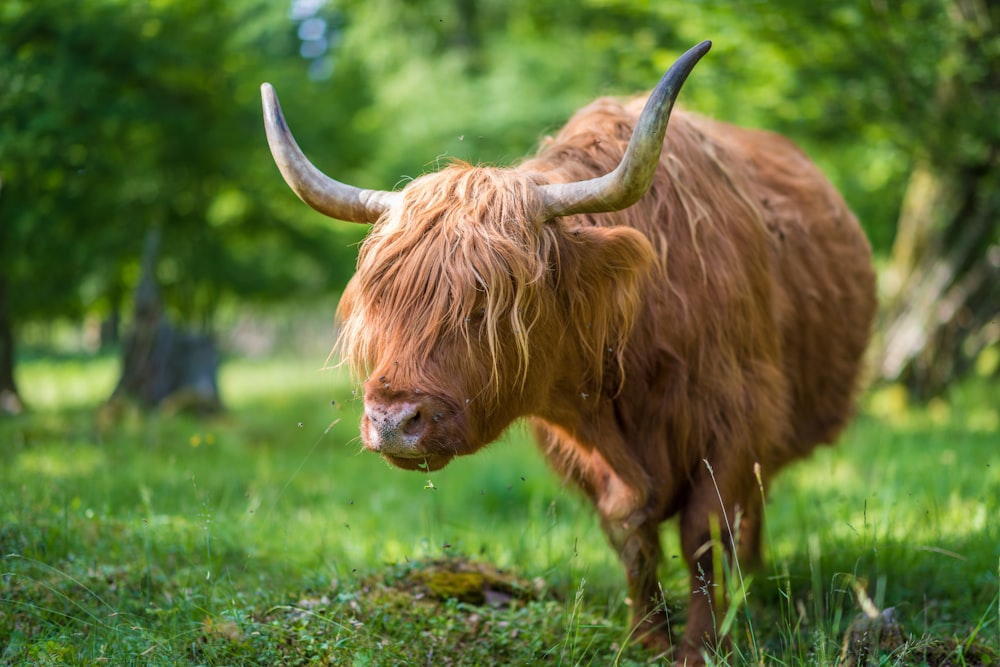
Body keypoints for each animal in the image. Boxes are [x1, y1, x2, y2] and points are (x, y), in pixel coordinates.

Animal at [262, 44, 880, 664]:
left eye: (489, 298)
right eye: (381, 297)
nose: (393, 421)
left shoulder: (735, 419)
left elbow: (704, 533)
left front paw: (702, 644)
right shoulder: (582, 448)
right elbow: (630, 533)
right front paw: (646, 638)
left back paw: (751, 582)